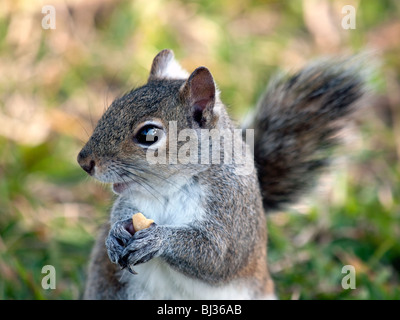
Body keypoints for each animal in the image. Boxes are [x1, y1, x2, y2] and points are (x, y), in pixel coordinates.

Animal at [77, 48, 366, 298]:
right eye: (114, 107)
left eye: (148, 134)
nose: (84, 161)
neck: (170, 188)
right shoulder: (132, 202)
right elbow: (119, 215)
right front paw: (115, 234)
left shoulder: (233, 216)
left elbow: (217, 256)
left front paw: (159, 240)